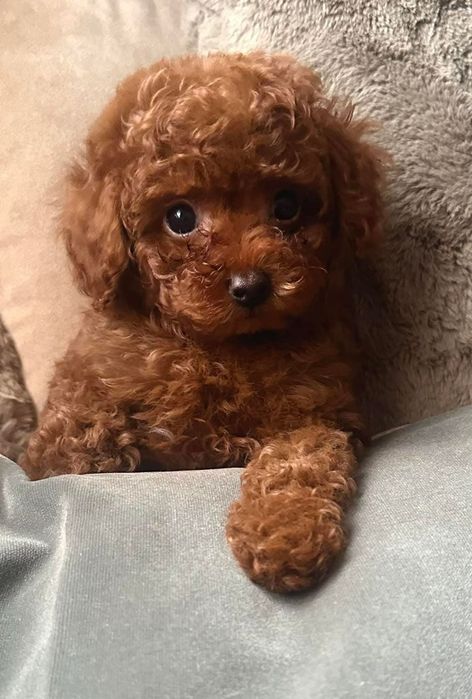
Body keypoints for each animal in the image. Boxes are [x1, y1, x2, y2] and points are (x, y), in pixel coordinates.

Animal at [22, 52, 384, 592]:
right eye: (179, 218)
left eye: (286, 206)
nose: (251, 286)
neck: (220, 346)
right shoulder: (94, 363)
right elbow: (74, 424)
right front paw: (83, 451)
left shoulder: (320, 411)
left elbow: (299, 462)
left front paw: (285, 532)